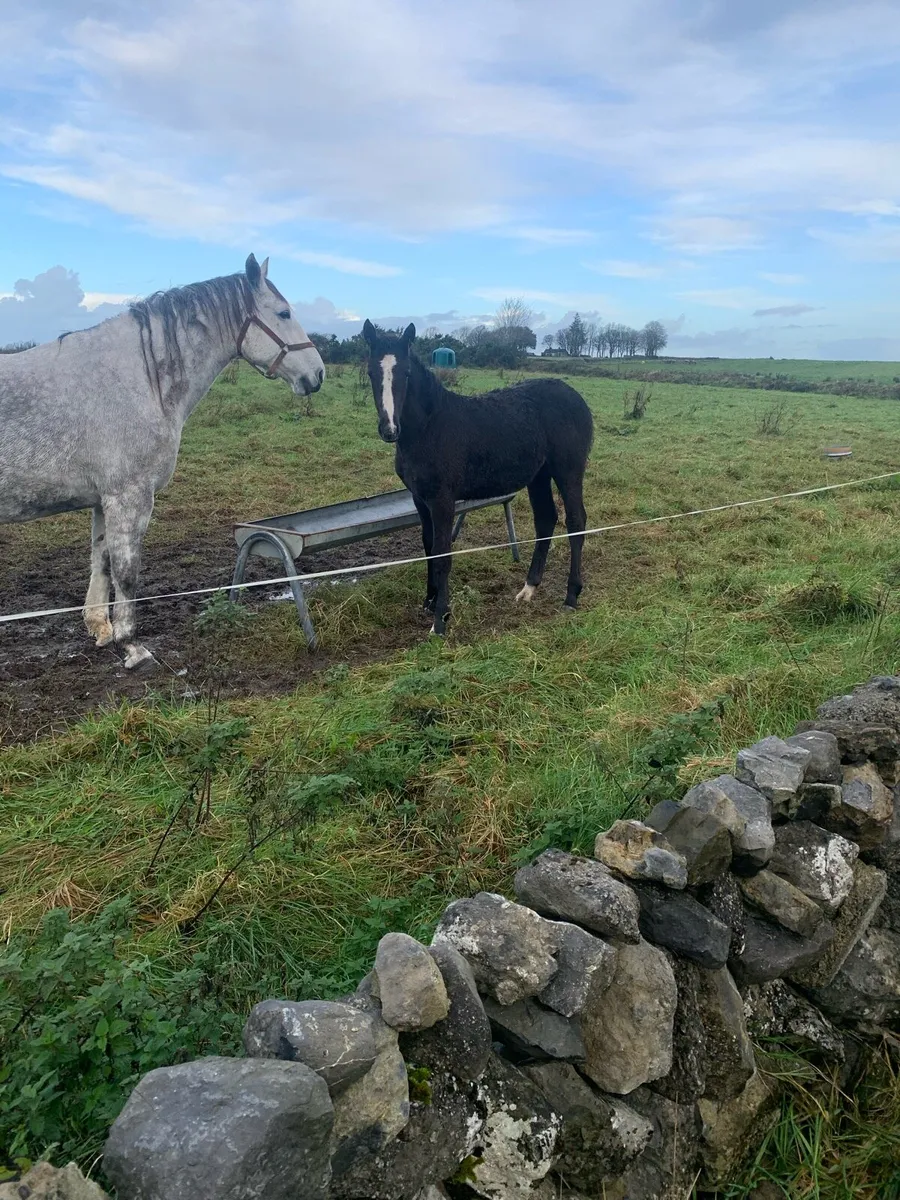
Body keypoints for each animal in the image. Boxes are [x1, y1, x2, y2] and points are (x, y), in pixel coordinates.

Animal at [0, 254, 324, 669]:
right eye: (283, 313)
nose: (317, 373)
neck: (140, 379)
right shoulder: (129, 496)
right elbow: (127, 573)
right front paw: (131, 645)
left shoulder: (104, 500)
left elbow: (102, 561)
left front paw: (101, 630)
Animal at [362, 320, 593, 635]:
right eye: (371, 373)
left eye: (406, 373)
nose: (389, 430)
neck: (429, 427)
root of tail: (577, 398)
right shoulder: (420, 499)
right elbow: (429, 547)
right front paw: (430, 602)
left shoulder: (443, 500)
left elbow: (443, 555)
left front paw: (440, 622)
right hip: (539, 476)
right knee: (546, 520)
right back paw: (529, 588)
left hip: (568, 471)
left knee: (576, 522)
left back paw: (571, 596)